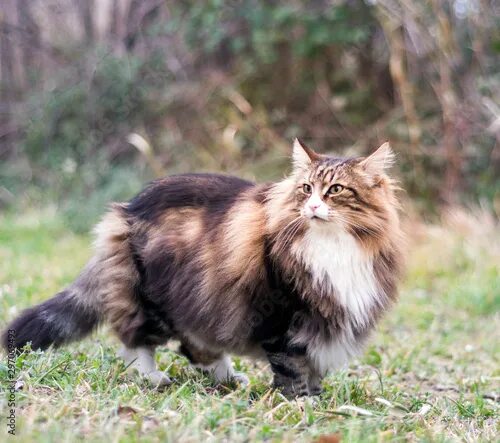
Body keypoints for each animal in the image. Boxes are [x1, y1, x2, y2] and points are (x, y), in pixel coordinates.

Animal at [1, 140, 404, 398]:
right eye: (306, 188)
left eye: (335, 190)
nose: (313, 207)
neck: (332, 248)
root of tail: (126, 209)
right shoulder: (282, 317)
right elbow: (293, 369)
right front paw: (302, 404)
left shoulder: (322, 320)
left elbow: (314, 368)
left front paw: (318, 398)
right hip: (154, 299)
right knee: (136, 340)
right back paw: (154, 378)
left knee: (193, 347)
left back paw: (227, 379)